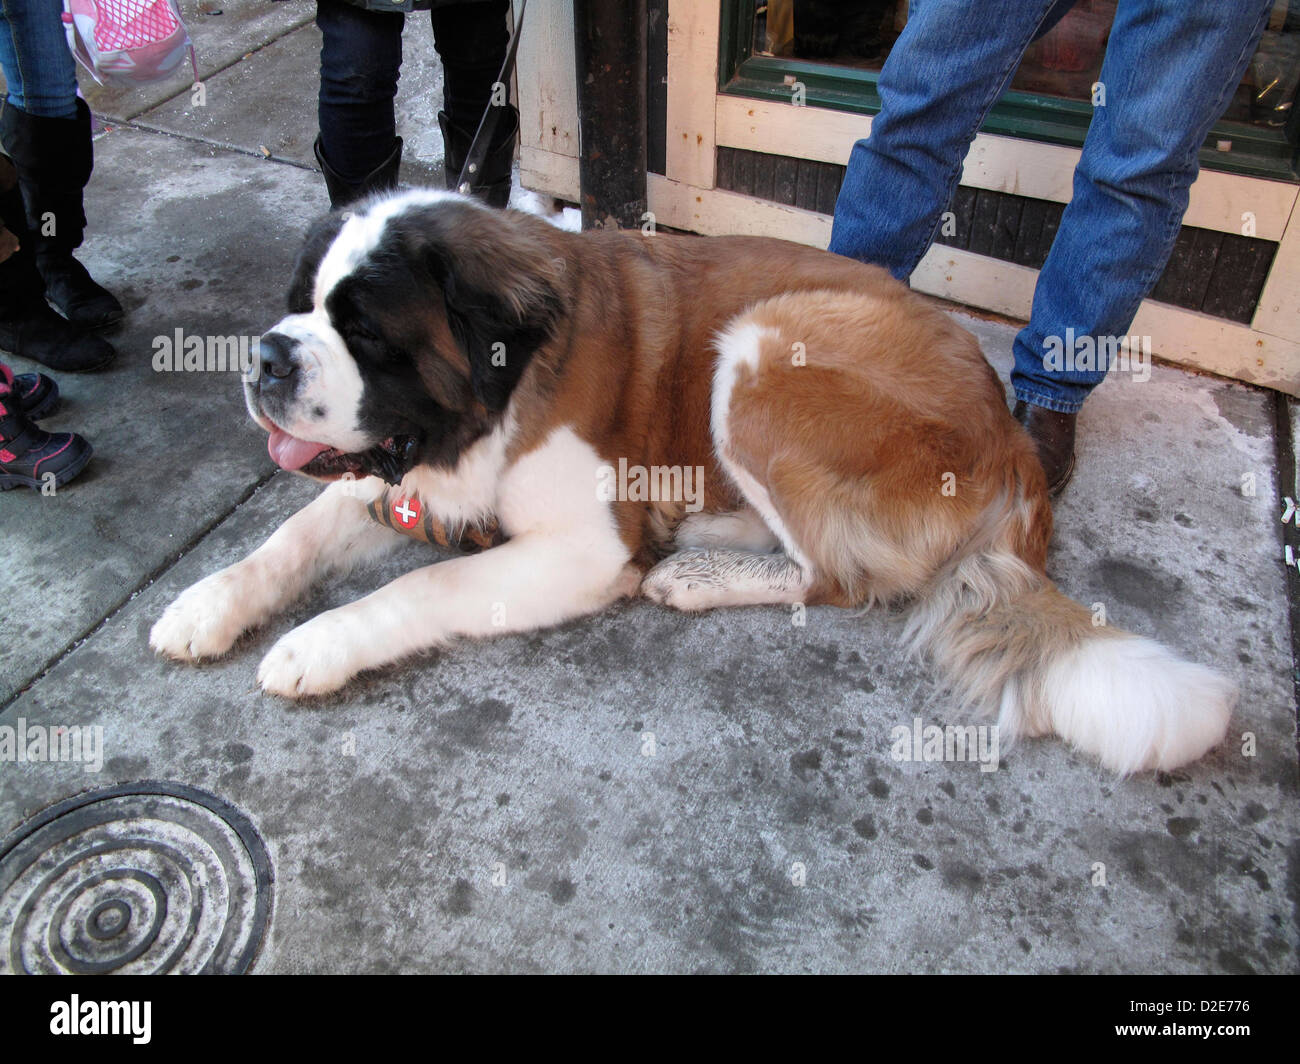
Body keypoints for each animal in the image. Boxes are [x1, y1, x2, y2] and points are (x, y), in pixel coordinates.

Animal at [147, 188, 1232, 770]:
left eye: (366, 329)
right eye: (298, 303)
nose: (267, 357)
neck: (503, 384)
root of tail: (1009, 434)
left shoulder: (581, 551)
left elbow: (425, 585)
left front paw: (317, 642)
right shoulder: (400, 480)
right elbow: (289, 535)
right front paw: (206, 601)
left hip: (763, 347)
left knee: (837, 579)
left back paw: (699, 573)